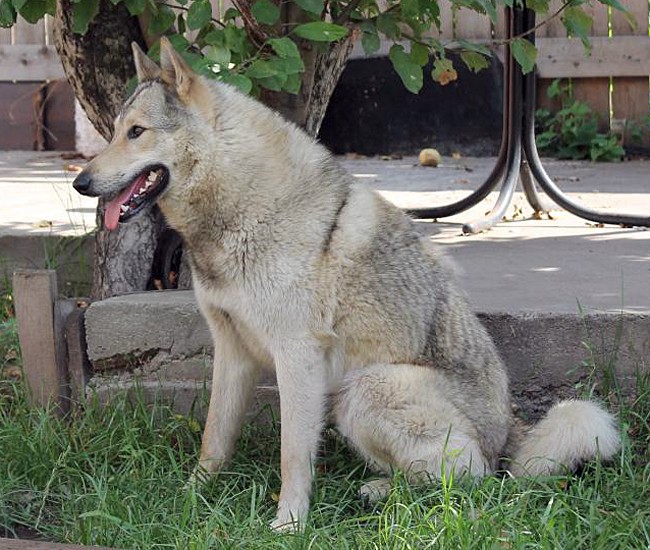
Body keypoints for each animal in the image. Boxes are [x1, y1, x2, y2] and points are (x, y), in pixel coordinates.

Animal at [73, 37, 620, 531]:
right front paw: (192, 496)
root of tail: (509, 435)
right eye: (115, 132)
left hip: (363, 390)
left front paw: (289, 524)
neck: (237, 207)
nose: (80, 183)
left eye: (137, 132)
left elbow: (293, 454)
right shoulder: (232, 352)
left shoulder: (297, 357)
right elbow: (214, 438)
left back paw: (386, 493)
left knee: (471, 477)